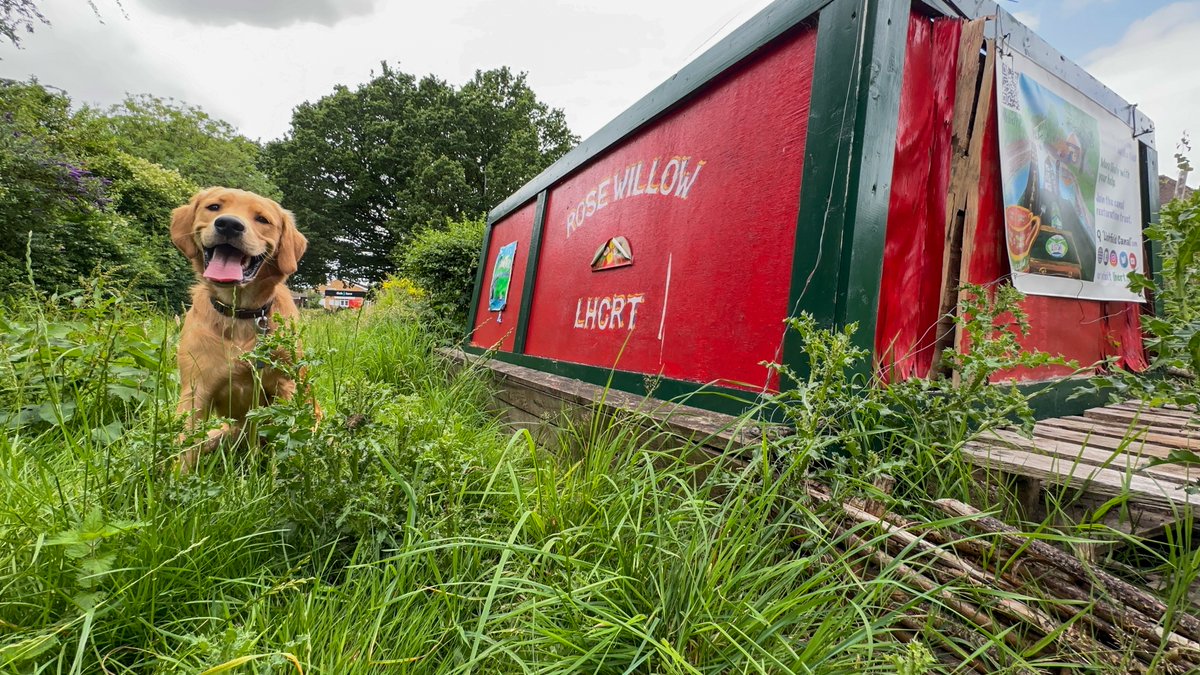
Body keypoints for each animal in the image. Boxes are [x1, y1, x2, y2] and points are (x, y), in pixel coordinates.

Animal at [170, 186, 309, 470]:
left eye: (262, 219)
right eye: (213, 207)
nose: (229, 225)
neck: (241, 313)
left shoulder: (287, 384)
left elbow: (289, 437)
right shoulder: (195, 390)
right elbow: (185, 447)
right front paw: (174, 481)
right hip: (221, 432)